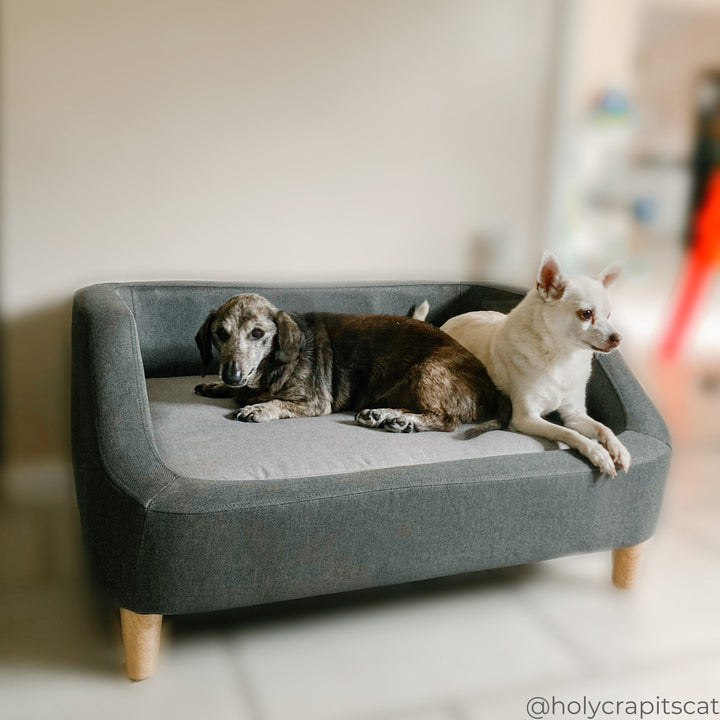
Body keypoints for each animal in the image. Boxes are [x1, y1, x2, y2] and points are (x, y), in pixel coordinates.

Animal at [194, 292, 510, 434]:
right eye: (220, 334)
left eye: (257, 333)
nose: (232, 375)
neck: (272, 367)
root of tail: (491, 387)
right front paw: (215, 385)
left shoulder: (315, 402)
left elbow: (277, 402)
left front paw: (257, 409)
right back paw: (383, 415)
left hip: (428, 370)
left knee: (447, 419)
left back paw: (403, 420)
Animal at [442, 253, 632, 478]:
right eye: (586, 314)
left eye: (609, 315)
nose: (618, 338)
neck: (563, 357)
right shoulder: (526, 418)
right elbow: (566, 432)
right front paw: (598, 452)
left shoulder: (575, 415)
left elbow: (603, 428)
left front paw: (618, 448)